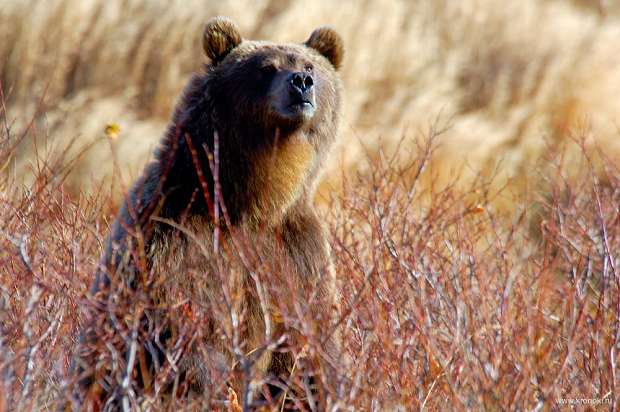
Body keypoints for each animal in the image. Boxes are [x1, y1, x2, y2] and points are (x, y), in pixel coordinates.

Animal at [71, 15, 346, 408]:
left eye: (309, 66)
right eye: (266, 67)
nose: (301, 83)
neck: (253, 203)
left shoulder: (297, 248)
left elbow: (309, 336)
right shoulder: (178, 234)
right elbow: (187, 327)